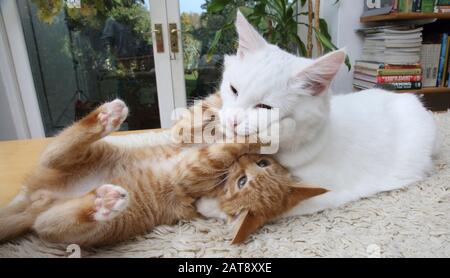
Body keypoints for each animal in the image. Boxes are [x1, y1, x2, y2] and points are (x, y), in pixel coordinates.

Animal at [196, 11, 436, 217]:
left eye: (265, 107)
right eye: (233, 89)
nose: (232, 121)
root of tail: (411, 99)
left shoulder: (318, 193)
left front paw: (207, 204)